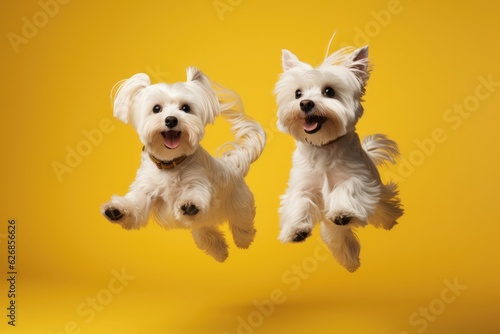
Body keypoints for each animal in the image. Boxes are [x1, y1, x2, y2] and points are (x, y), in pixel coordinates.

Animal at [102, 67, 266, 260]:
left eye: (186, 108)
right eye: (156, 108)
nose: (171, 119)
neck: (170, 163)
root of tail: (234, 165)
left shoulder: (199, 182)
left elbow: (195, 193)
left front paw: (189, 205)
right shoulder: (146, 190)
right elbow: (136, 205)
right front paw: (117, 210)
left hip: (238, 205)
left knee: (242, 224)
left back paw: (243, 241)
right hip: (203, 223)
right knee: (206, 232)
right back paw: (219, 251)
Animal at [276, 44, 404, 272]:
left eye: (329, 91)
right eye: (297, 93)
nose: (305, 103)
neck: (322, 146)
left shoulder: (358, 177)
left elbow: (347, 187)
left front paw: (342, 212)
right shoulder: (303, 185)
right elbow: (299, 199)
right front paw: (296, 229)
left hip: (379, 195)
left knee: (384, 208)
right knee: (338, 237)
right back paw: (349, 260)